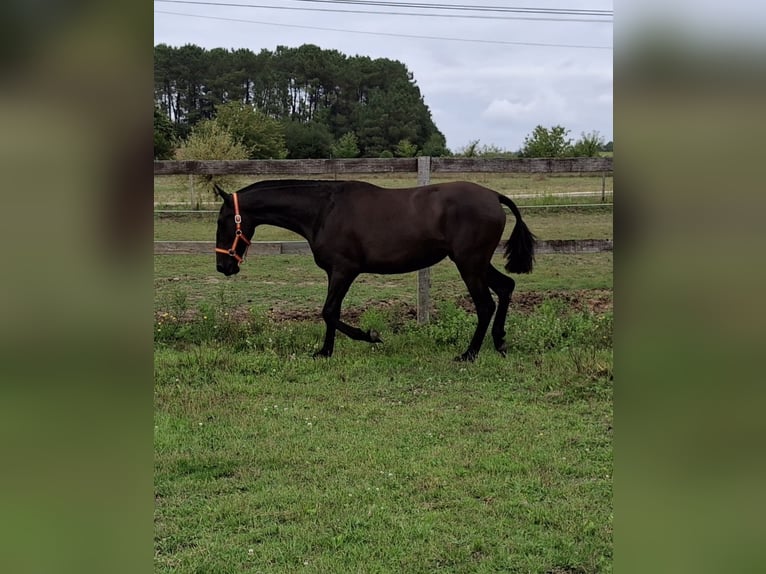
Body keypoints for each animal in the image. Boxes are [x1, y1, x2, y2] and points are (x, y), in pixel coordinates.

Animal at [216, 180, 536, 362]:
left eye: (223, 222)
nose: (223, 266)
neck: (324, 211)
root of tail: (494, 196)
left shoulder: (344, 270)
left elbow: (329, 311)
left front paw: (370, 336)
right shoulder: (335, 273)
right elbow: (331, 312)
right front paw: (325, 352)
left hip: (469, 264)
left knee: (485, 305)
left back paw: (469, 354)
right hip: (476, 263)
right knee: (506, 287)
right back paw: (500, 342)